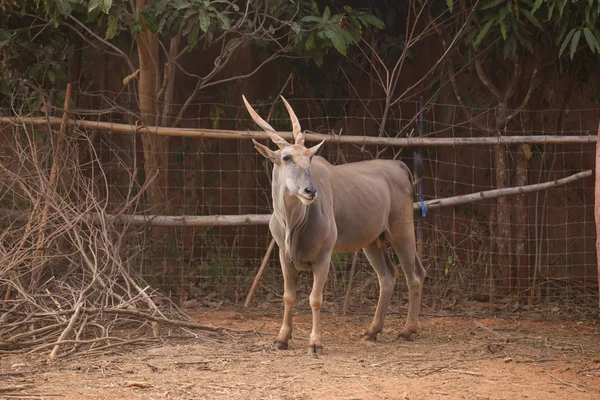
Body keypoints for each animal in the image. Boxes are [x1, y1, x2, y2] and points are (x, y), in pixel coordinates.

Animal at [244, 95, 426, 354]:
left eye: (309, 157)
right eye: (287, 157)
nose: (310, 191)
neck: (294, 223)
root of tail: (400, 167)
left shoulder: (324, 256)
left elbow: (315, 298)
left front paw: (315, 343)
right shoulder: (283, 255)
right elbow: (288, 296)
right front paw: (281, 339)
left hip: (402, 231)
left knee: (415, 275)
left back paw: (406, 331)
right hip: (373, 241)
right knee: (387, 276)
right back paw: (372, 331)